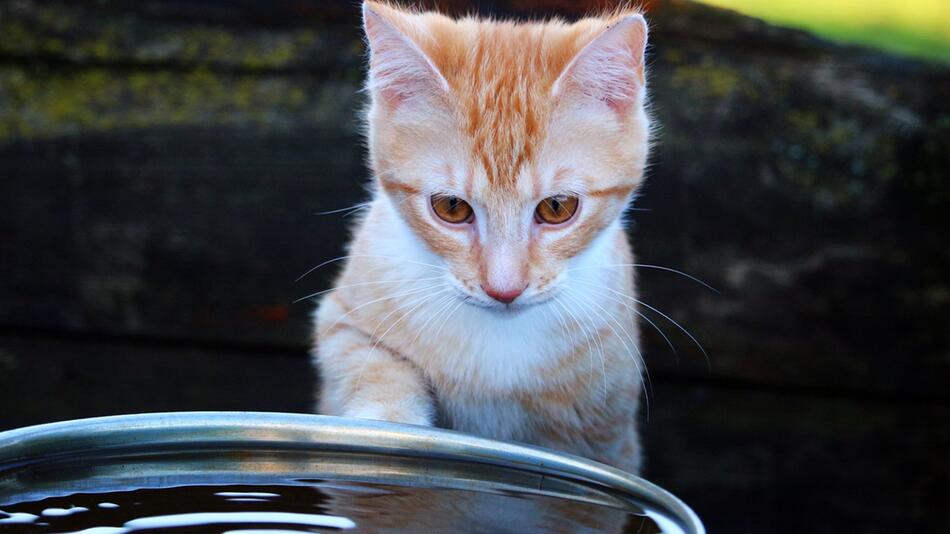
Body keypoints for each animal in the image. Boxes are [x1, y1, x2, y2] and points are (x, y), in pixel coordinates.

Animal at [312, 0, 656, 478]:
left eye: (557, 207)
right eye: (452, 208)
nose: (503, 289)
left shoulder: (609, 429)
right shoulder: (343, 317)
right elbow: (371, 366)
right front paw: (390, 429)